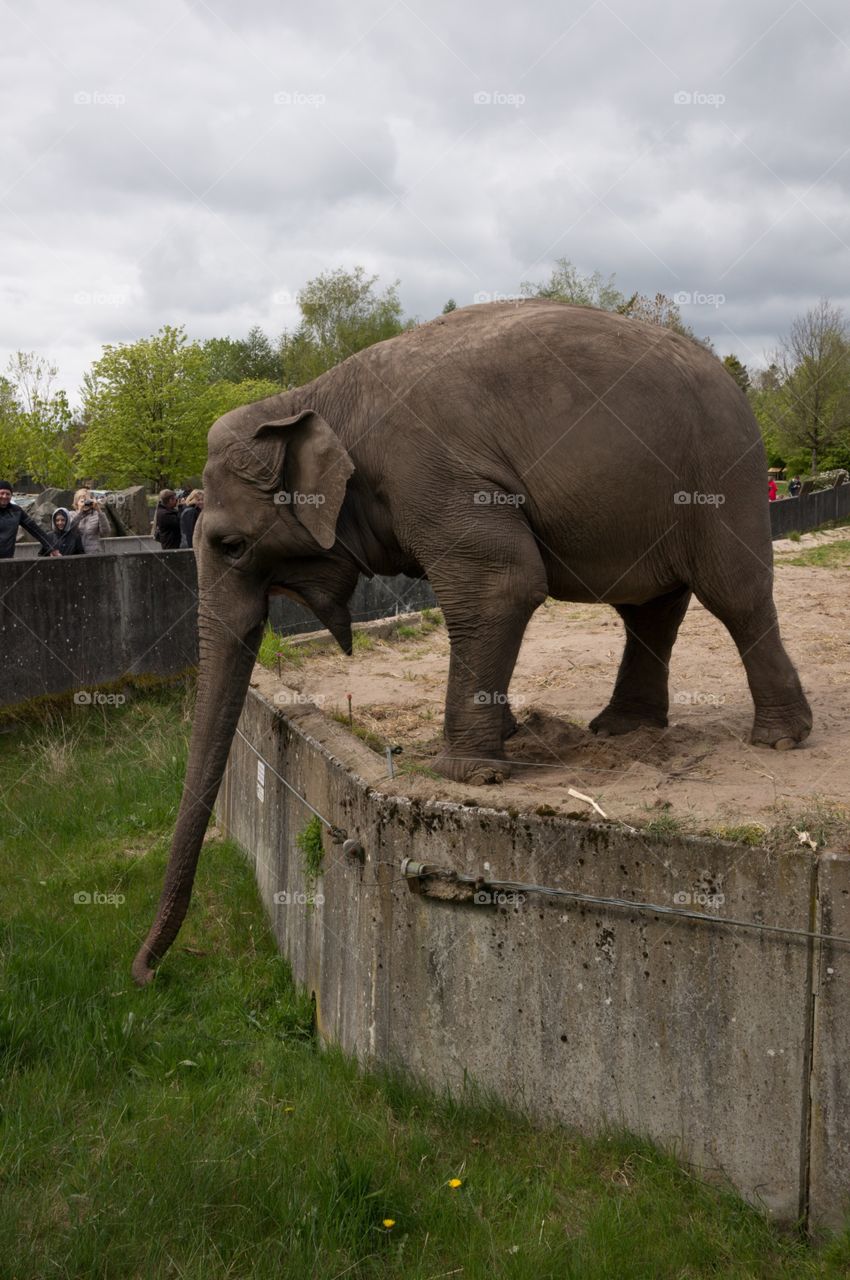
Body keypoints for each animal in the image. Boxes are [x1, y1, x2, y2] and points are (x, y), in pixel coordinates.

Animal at [132, 300, 811, 984]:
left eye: (229, 545)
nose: (145, 975)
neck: (310, 396)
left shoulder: (431, 474)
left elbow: (499, 581)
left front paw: (462, 774)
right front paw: (505, 737)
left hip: (723, 469)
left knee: (734, 593)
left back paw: (779, 739)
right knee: (650, 606)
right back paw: (623, 731)